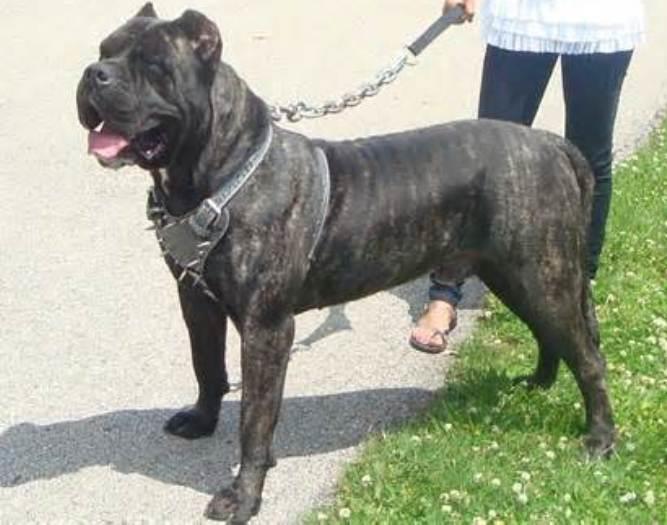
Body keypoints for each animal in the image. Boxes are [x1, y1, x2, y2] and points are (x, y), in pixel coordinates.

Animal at [76, 4, 614, 522]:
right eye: (105, 49)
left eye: (152, 65)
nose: (93, 73)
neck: (221, 173)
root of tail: (552, 144)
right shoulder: (196, 299)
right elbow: (206, 367)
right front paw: (203, 420)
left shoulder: (266, 328)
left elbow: (254, 418)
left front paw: (243, 497)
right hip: (517, 275)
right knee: (551, 335)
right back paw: (537, 385)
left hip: (541, 275)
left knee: (588, 357)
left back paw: (600, 439)